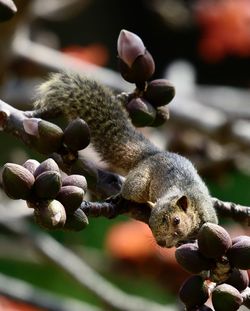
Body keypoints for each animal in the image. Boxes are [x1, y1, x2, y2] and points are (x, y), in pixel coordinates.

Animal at [34, 71, 218, 249]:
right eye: (150, 224)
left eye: (176, 220)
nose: (161, 243)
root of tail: (153, 154)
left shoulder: (208, 214)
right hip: (139, 184)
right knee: (130, 190)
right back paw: (121, 197)